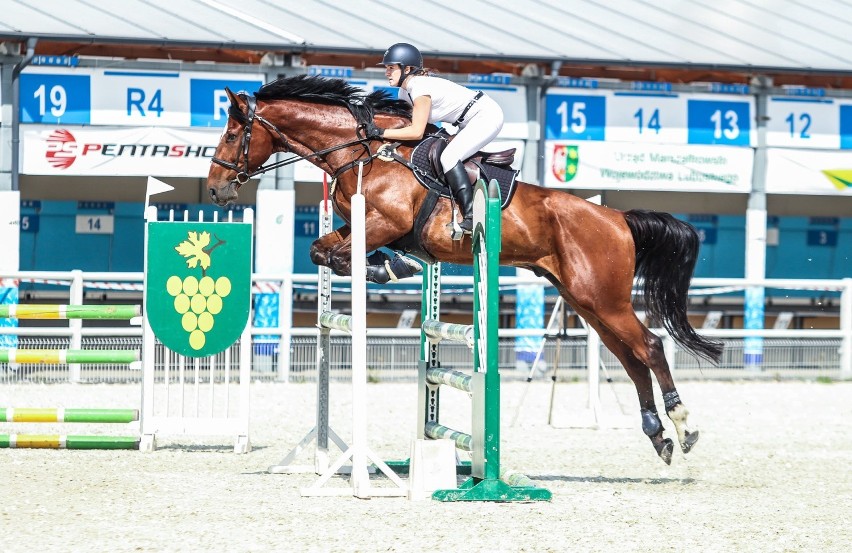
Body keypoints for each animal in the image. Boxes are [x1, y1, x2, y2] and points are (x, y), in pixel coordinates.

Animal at [210, 73, 724, 462]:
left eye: (233, 135)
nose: (216, 191)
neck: (362, 151)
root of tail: (618, 219)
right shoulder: (358, 226)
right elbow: (323, 252)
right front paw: (388, 266)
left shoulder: (385, 223)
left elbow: (343, 256)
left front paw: (391, 268)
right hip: (586, 301)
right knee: (631, 358)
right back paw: (658, 435)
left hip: (604, 298)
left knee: (650, 347)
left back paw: (682, 426)